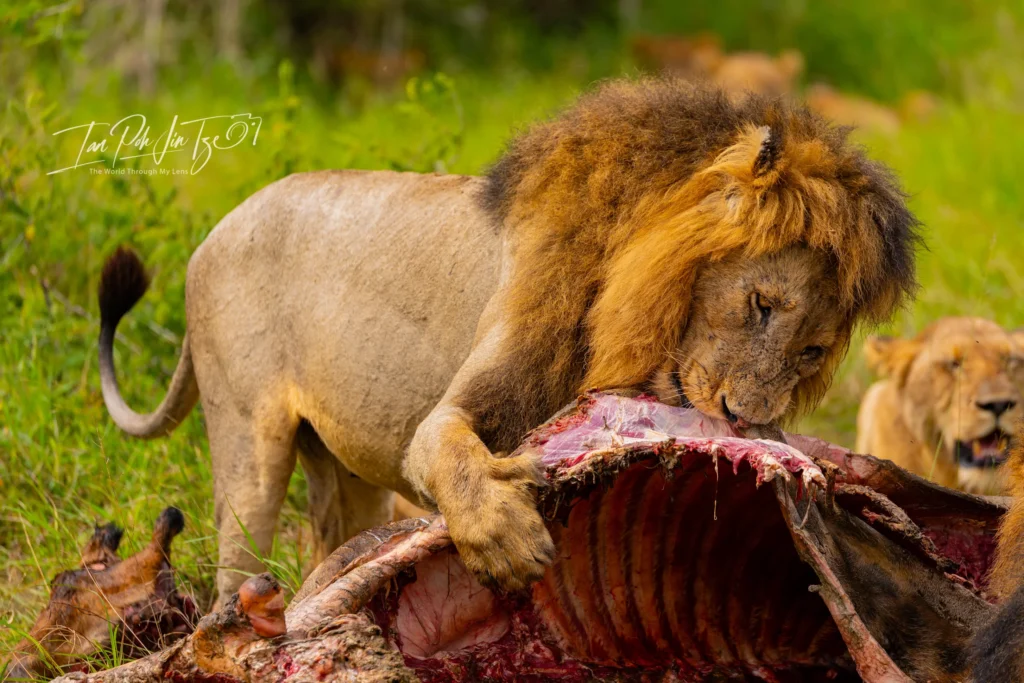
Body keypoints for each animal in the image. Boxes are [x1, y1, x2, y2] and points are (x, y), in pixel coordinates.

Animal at [97, 80, 918, 603]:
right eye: (760, 305)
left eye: (811, 353)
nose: (745, 417)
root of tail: (212, 234)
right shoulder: (451, 416)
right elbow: (450, 452)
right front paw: (506, 539)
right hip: (248, 445)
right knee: (234, 566)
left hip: (343, 471)